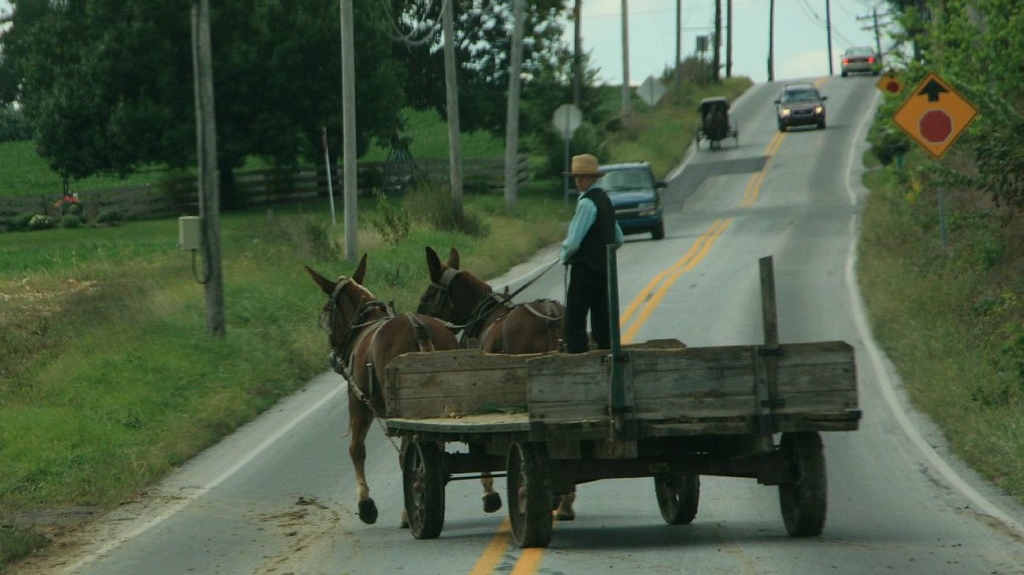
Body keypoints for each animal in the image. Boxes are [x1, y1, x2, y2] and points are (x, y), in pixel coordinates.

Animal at [307, 253, 460, 523]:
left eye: (326, 312)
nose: (332, 355)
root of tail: (418, 327)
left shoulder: (357, 400)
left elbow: (356, 448)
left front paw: (365, 503)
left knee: (411, 450)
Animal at [415, 243, 577, 517]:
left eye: (428, 294)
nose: (420, 318)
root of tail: (550, 317)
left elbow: (481, 450)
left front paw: (490, 495)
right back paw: (565, 502)